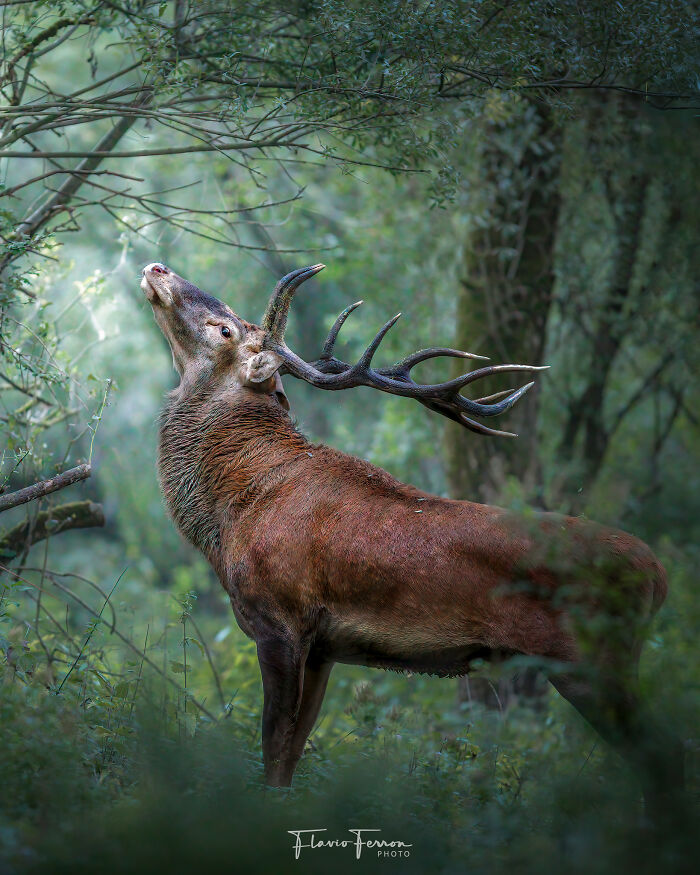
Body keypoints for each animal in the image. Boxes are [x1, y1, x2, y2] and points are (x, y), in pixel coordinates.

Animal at [141, 260, 682, 814]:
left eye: (226, 330)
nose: (159, 269)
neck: (230, 518)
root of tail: (659, 576)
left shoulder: (279, 620)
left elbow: (272, 751)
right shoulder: (322, 648)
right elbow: (292, 754)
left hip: (591, 658)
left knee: (665, 756)